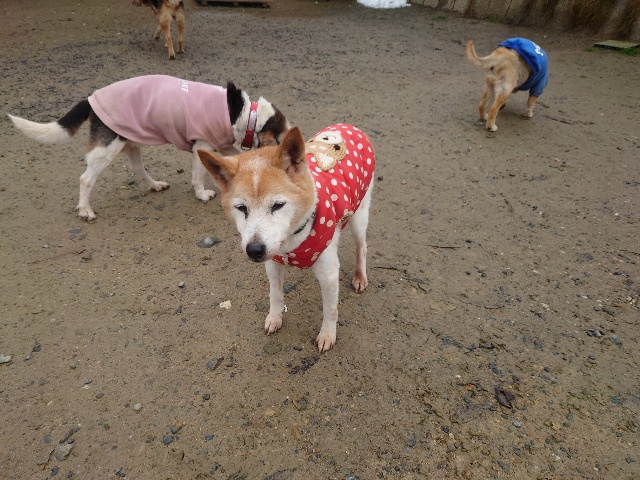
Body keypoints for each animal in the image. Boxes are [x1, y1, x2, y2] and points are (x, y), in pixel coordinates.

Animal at [8, 75, 290, 220]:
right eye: (280, 139)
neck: (245, 114)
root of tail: (90, 100)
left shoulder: (220, 146)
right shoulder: (201, 144)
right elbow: (198, 176)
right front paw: (201, 194)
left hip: (130, 141)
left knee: (137, 169)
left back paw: (154, 185)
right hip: (106, 149)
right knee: (86, 178)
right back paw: (85, 209)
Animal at [198, 124, 375, 352]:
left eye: (278, 205)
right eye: (241, 208)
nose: (254, 250)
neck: (292, 238)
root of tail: (349, 125)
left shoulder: (328, 274)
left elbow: (330, 310)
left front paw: (327, 335)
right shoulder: (273, 264)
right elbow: (275, 295)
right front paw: (275, 318)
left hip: (358, 217)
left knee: (362, 247)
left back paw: (360, 276)